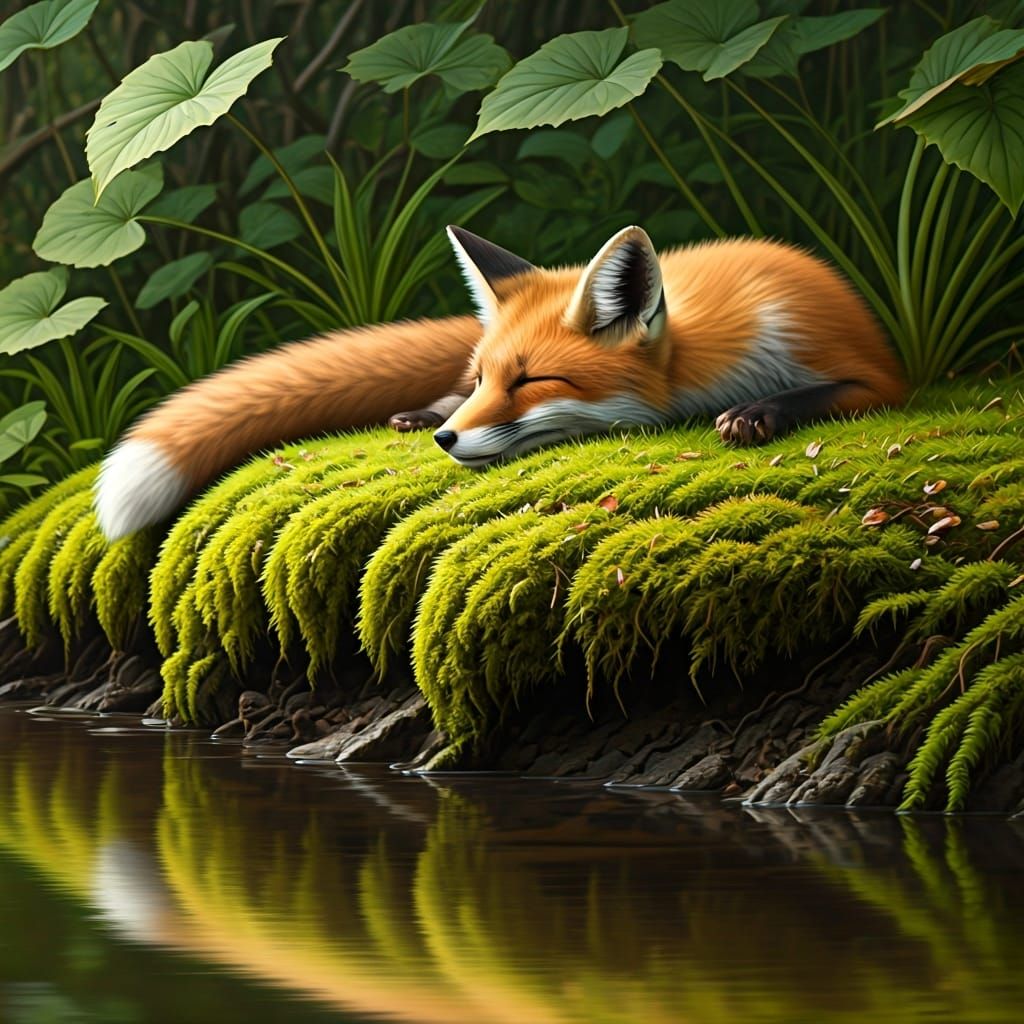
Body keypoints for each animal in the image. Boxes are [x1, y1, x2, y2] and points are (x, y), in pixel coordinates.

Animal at [94, 224, 907, 541]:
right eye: (487, 377)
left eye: (534, 381)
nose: (451, 440)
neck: (700, 366)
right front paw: (434, 415)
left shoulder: (876, 375)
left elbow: (822, 394)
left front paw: (757, 414)